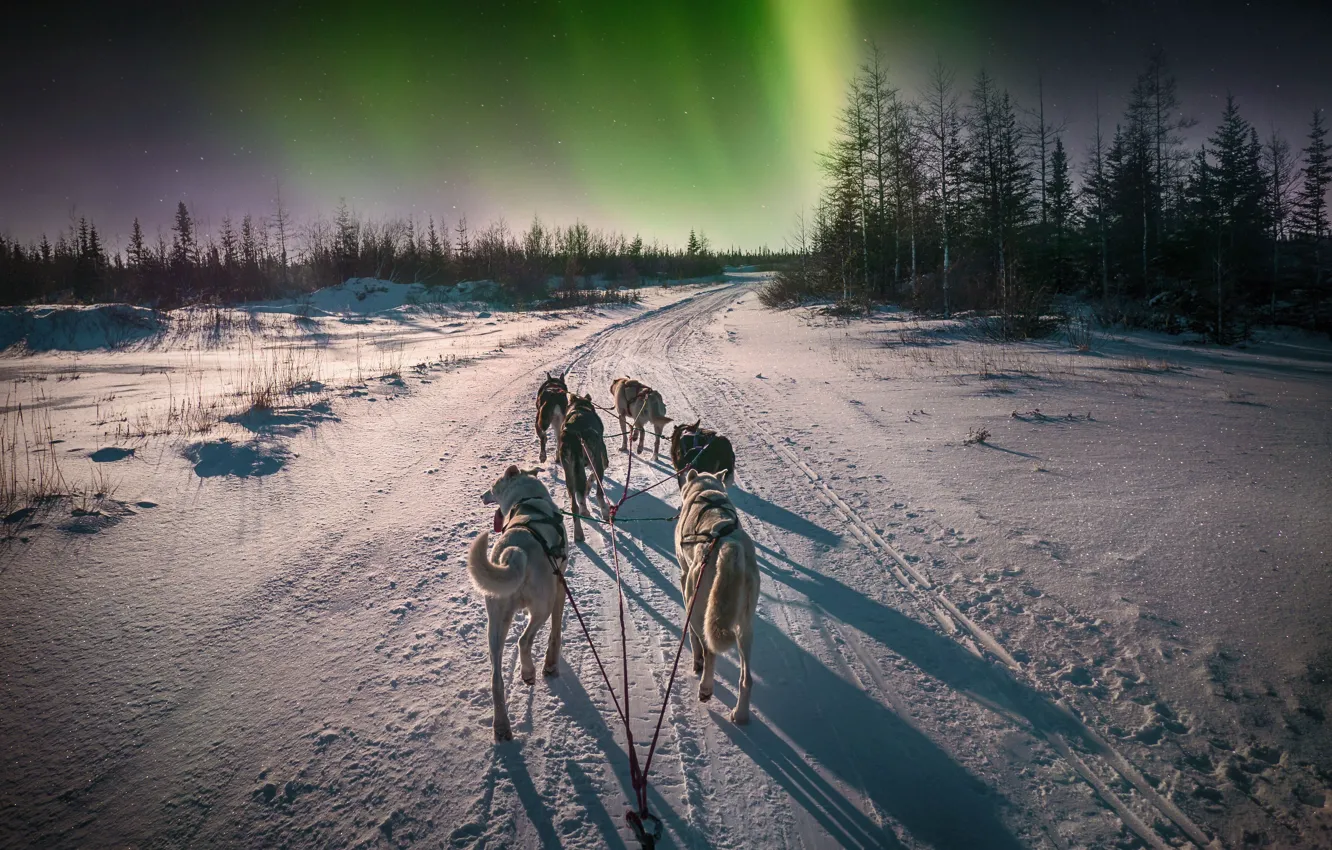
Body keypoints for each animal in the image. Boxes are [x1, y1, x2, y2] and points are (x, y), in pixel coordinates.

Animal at [468, 468, 567, 740]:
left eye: (493, 487)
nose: (481, 495)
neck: (527, 500)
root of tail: (515, 551)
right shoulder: (560, 589)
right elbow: (556, 632)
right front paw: (550, 665)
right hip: (542, 607)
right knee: (524, 640)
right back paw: (529, 672)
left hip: (495, 624)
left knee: (496, 680)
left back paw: (501, 727)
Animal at [556, 394, 610, 546]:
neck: (580, 407)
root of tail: (575, 435)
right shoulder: (601, 461)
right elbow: (591, 479)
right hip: (597, 462)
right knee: (599, 493)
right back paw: (604, 511)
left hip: (569, 474)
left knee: (574, 505)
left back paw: (579, 532)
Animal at [676, 468, 761, 724]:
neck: (707, 490)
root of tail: (728, 546)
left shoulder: (684, 578)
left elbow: (693, 638)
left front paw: (696, 662)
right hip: (745, 627)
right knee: (747, 679)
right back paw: (740, 714)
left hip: (697, 603)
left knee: (708, 649)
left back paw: (705, 687)